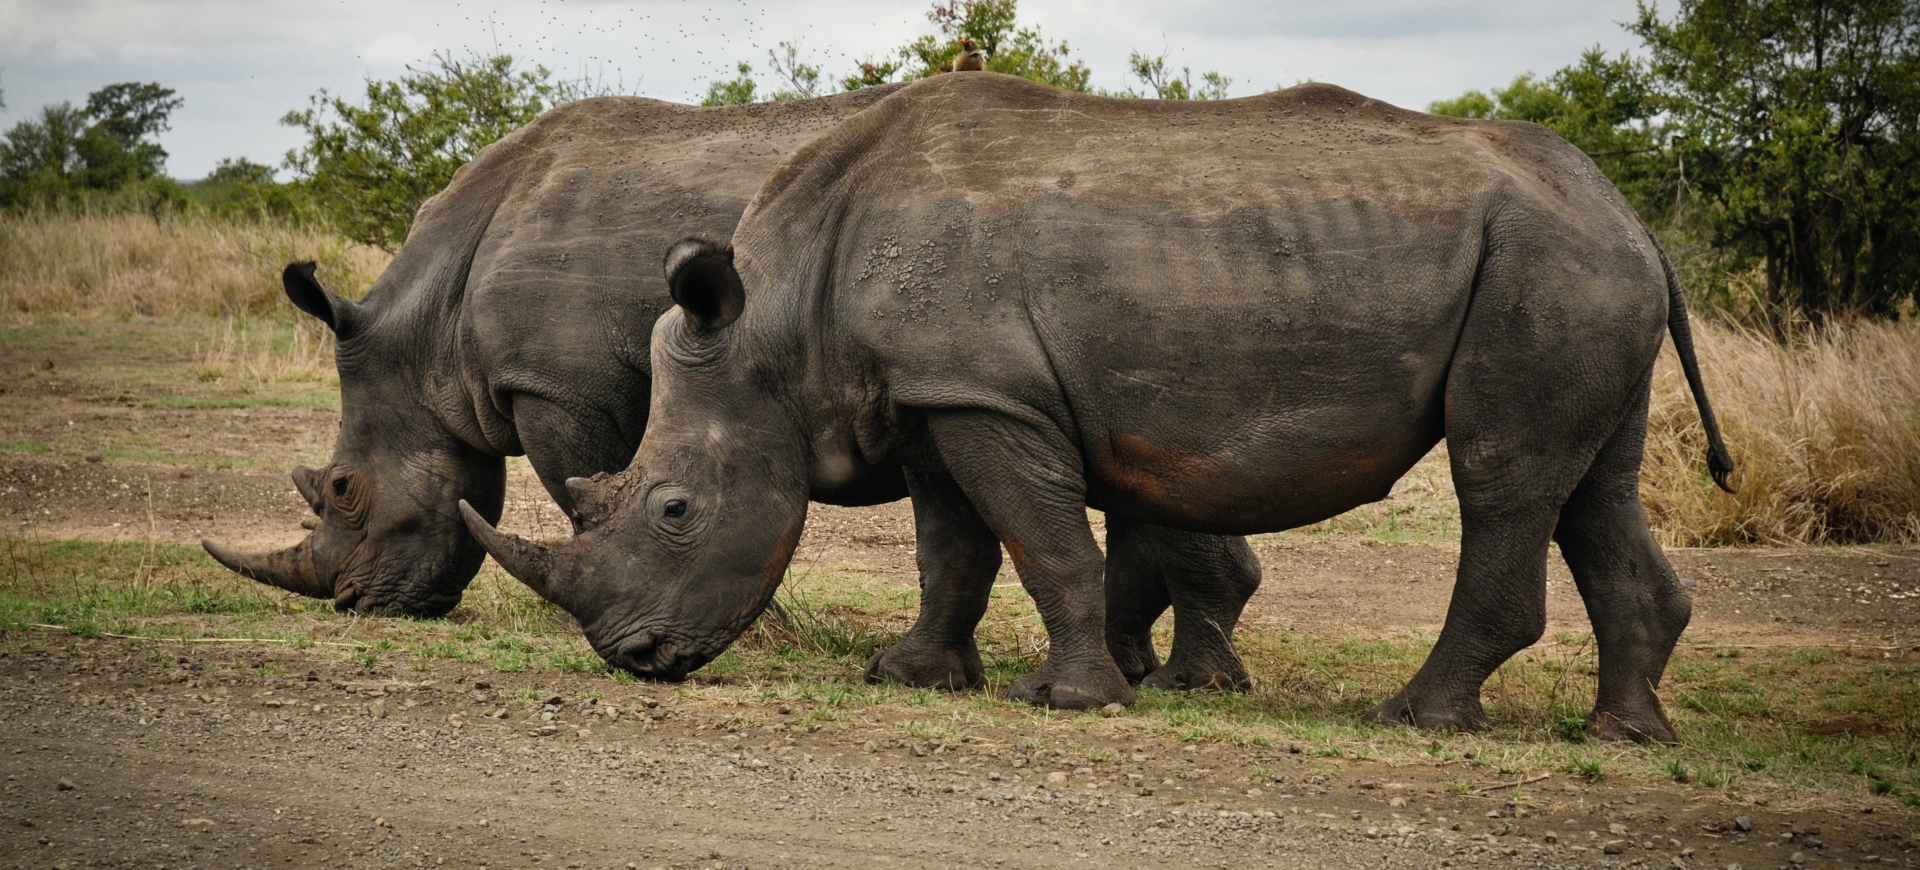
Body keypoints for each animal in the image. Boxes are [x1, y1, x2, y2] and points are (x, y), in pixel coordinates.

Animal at [202, 88, 1263, 692]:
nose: (354, 603)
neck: (431, 327)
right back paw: (1158, 670)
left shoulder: (558, 387)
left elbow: (587, 488)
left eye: (344, 490)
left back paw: (1174, 677)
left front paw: (760, 629)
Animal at [464, 74, 1734, 740]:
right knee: (1591, 484)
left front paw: (1072, 700)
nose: (634, 657)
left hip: (1548, 272)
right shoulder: (938, 397)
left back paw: (1416, 718)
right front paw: (910, 676)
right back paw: (1626, 733)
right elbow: (953, 549)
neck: (777, 324)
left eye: (673, 510)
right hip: (1574, 271)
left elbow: (1041, 541)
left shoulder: (989, 398)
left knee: (1501, 475)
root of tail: (1631, 217)